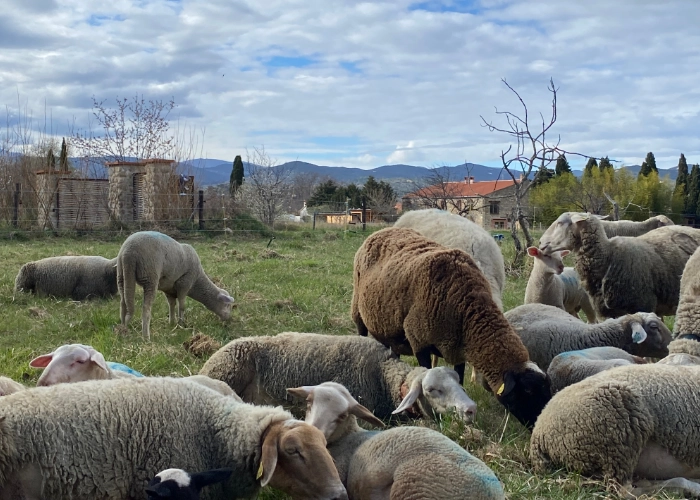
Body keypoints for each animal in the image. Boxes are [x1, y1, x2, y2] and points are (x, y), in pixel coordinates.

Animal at [351, 227, 551, 429]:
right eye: (527, 391)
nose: (538, 424)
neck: (467, 307)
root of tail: (385, 230)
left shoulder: (458, 350)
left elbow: (459, 379)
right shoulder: (419, 339)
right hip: (357, 309)